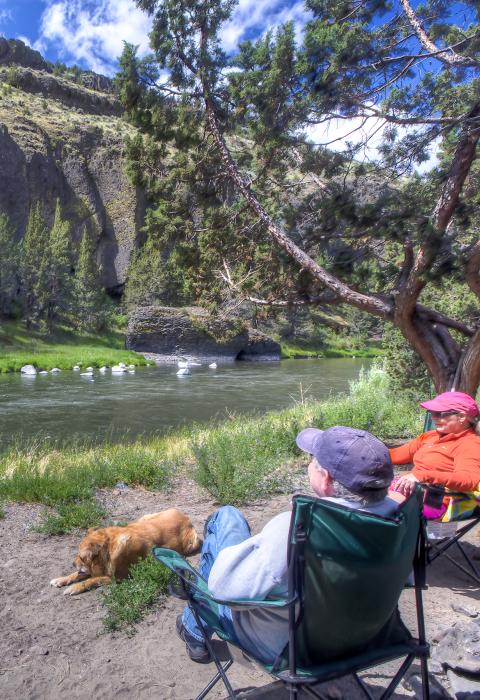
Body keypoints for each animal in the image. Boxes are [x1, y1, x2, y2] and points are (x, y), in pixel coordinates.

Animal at [51, 508, 202, 596]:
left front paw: (74, 587)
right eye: (77, 556)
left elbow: (91, 580)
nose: (72, 563)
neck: (109, 547)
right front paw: (60, 579)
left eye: (81, 557)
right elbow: (77, 574)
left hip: (191, 543)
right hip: (144, 518)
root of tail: (186, 517)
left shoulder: (116, 577)